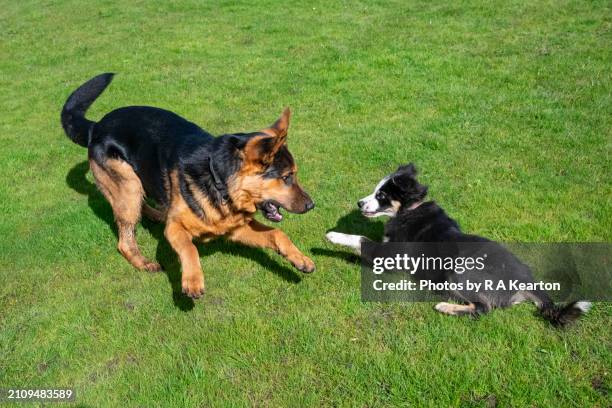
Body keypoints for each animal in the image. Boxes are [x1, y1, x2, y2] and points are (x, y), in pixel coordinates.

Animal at [62, 73, 316, 298]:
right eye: (287, 177)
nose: (312, 206)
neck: (219, 183)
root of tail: (96, 126)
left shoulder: (238, 229)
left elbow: (277, 233)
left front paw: (300, 259)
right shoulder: (175, 228)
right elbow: (189, 248)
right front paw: (192, 281)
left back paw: (157, 214)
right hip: (128, 185)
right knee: (124, 240)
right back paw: (144, 262)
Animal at [328, 164, 592, 326]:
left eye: (381, 195)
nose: (359, 203)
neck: (410, 210)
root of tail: (527, 281)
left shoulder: (393, 255)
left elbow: (360, 240)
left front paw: (332, 236)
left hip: (459, 272)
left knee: (483, 309)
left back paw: (445, 306)